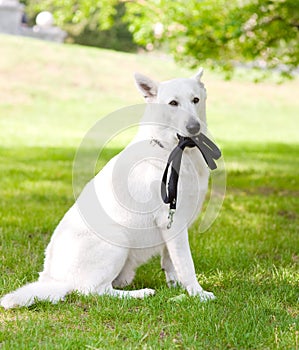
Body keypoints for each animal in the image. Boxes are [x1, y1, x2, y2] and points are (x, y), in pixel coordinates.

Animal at [0, 69, 217, 308]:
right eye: (173, 103)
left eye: (195, 100)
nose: (194, 127)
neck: (171, 147)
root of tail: (54, 280)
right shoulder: (172, 220)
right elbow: (186, 264)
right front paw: (198, 294)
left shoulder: (176, 225)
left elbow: (172, 262)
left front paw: (176, 286)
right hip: (118, 240)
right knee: (96, 291)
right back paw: (139, 294)